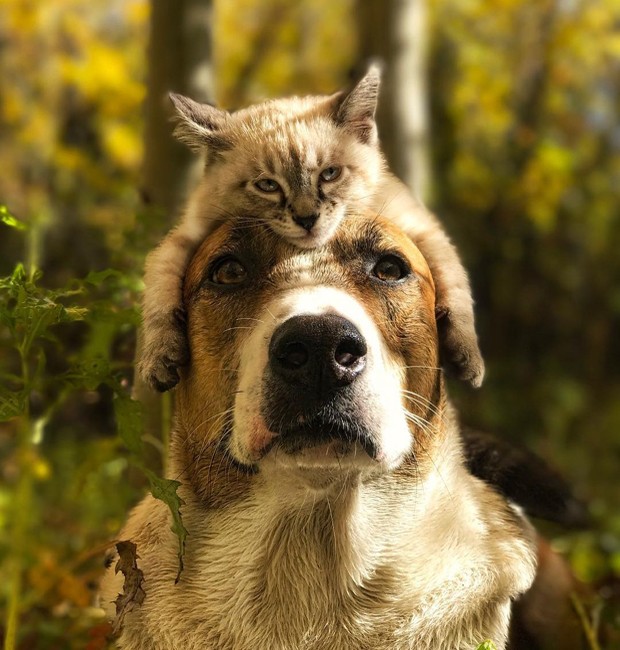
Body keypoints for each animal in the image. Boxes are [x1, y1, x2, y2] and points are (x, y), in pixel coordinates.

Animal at [139, 64, 484, 390]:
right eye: (268, 185)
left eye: (330, 174)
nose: (307, 219)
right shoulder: (187, 235)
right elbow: (158, 284)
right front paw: (158, 357)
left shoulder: (421, 227)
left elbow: (456, 284)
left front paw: (468, 358)